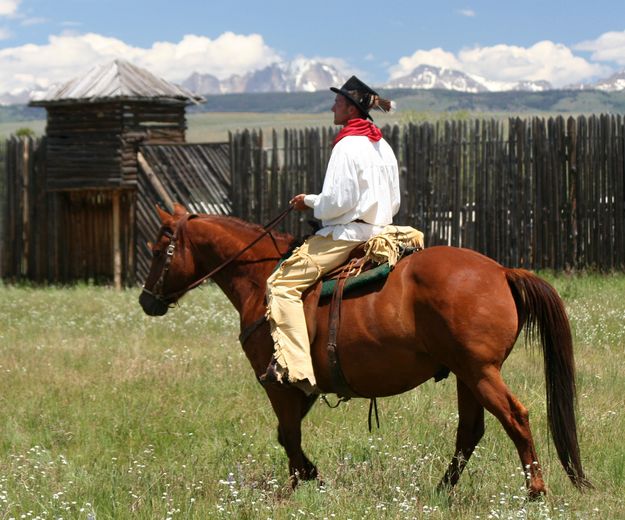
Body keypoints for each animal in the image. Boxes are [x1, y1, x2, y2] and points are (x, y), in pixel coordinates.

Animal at [138, 203, 588, 496]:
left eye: (159, 250)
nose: (146, 300)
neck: (259, 279)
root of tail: (501, 271)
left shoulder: (278, 384)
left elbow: (288, 435)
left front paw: (301, 484)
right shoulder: (303, 386)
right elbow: (288, 435)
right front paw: (308, 479)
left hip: (480, 372)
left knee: (515, 418)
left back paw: (535, 490)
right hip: (468, 374)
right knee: (470, 430)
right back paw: (441, 490)